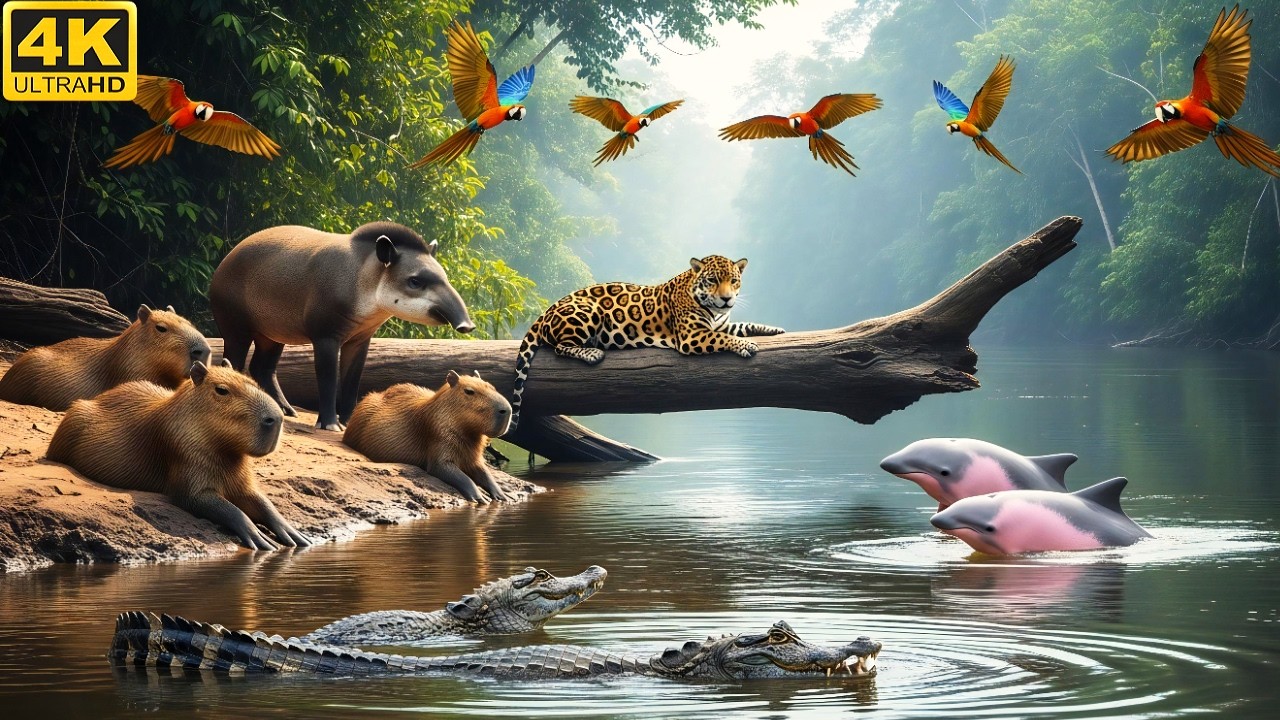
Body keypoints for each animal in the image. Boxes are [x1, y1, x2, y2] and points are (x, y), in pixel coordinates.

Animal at [45, 360, 309, 550]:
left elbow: (261, 500)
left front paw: (295, 535)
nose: (276, 419)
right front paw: (260, 538)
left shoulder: (241, 477)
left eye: (253, 382)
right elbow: (207, 502)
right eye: (221, 390)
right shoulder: (184, 456)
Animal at [210, 221, 474, 432]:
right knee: (234, 357)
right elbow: (328, 376)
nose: (467, 325)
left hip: (271, 330)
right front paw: (330, 424)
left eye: (445, 276)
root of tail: (224, 261)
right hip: (234, 320)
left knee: (263, 366)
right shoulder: (326, 334)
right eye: (415, 281)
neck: (362, 278)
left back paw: (286, 410)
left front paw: (349, 420)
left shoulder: (360, 337)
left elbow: (353, 378)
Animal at [343, 371, 512, 504]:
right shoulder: (438, 437)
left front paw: (502, 495)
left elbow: (483, 471)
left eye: (492, 386)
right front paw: (480, 497)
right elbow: (446, 470)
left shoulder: (473, 454)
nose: (507, 410)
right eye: (469, 391)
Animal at [508, 255, 784, 430]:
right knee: (559, 347)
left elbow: (743, 326)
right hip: (588, 311)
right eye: (713, 280)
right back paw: (591, 353)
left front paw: (772, 329)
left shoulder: (720, 323)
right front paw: (746, 346)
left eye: (734, 280)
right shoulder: (693, 336)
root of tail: (545, 311)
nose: (727, 299)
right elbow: (725, 338)